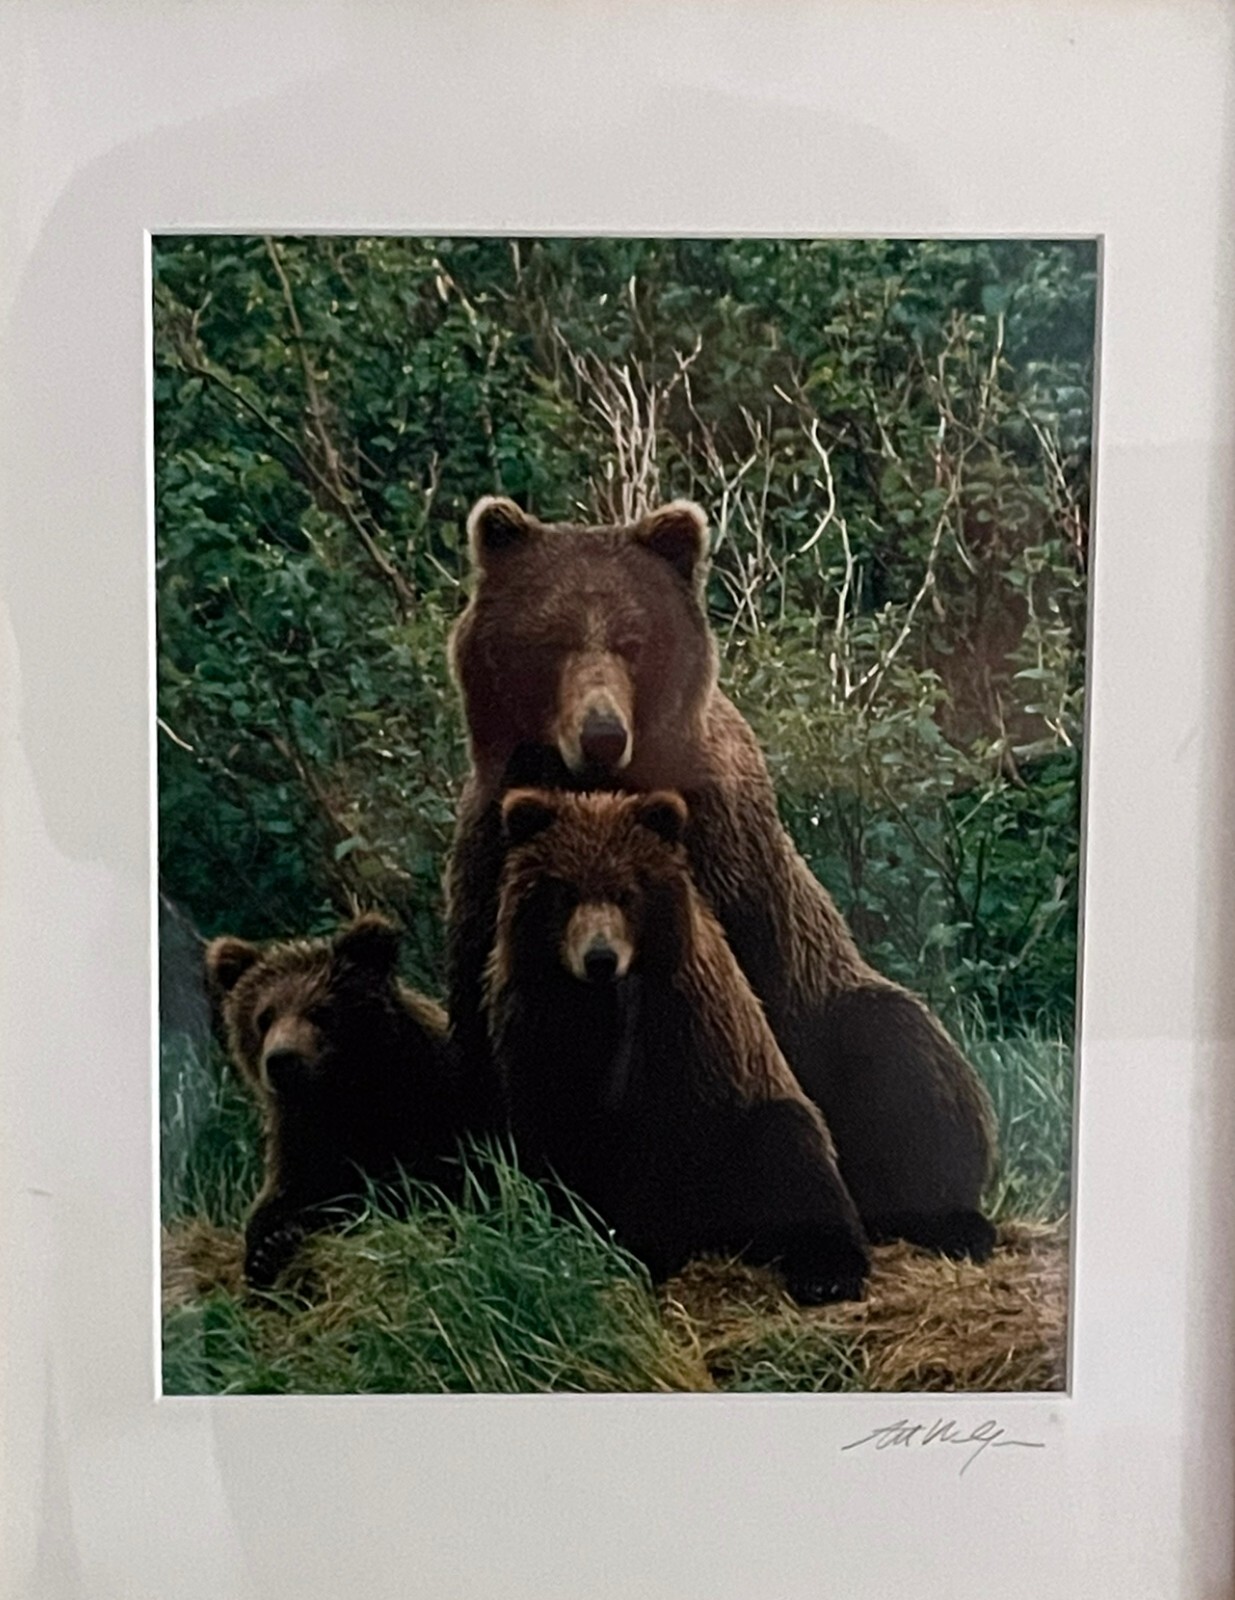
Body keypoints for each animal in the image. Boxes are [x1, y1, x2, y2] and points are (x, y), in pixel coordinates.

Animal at [205, 913, 462, 1288]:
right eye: (264, 1017)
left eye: (319, 1012)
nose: (281, 1059)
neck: (343, 1096)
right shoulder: (301, 1134)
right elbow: (283, 1195)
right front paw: (267, 1248)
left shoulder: (427, 1102)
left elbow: (413, 1185)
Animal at [487, 785, 870, 1304]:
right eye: (565, 891)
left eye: (627, 892)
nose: (600, 958)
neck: (597, 1008)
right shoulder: (537, 1031)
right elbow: (552, 1138)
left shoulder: (680, 1039)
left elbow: (661, 1146)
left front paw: (642, 1250)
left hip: (759, 1120)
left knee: (796, 1154)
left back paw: (826, 1269)